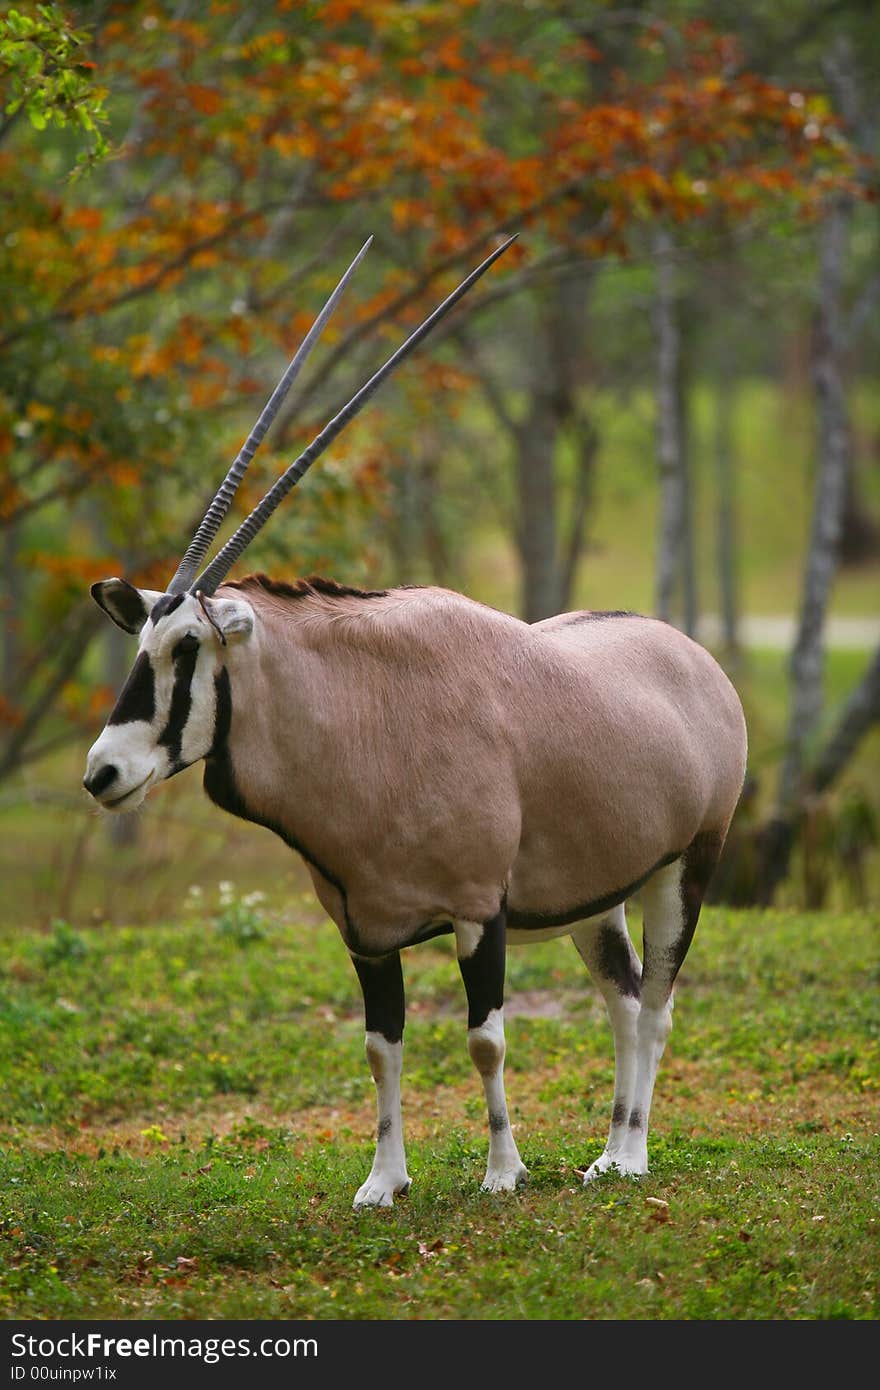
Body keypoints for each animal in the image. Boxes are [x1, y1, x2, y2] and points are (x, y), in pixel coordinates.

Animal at [82, 239, 745, 1206]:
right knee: (624, 999)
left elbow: (485, 1039)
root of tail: (695, 657)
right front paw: (382, 1181)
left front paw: (502, 1172)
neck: (365, 717)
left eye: (188, 649)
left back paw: (631, 1155)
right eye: (141, 643)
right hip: (597, 896)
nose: (103, 773)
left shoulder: (478, 911)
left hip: (684, 868)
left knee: (656, 1006)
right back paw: (609, 1149)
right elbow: (380, 1049)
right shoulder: (365, 931)